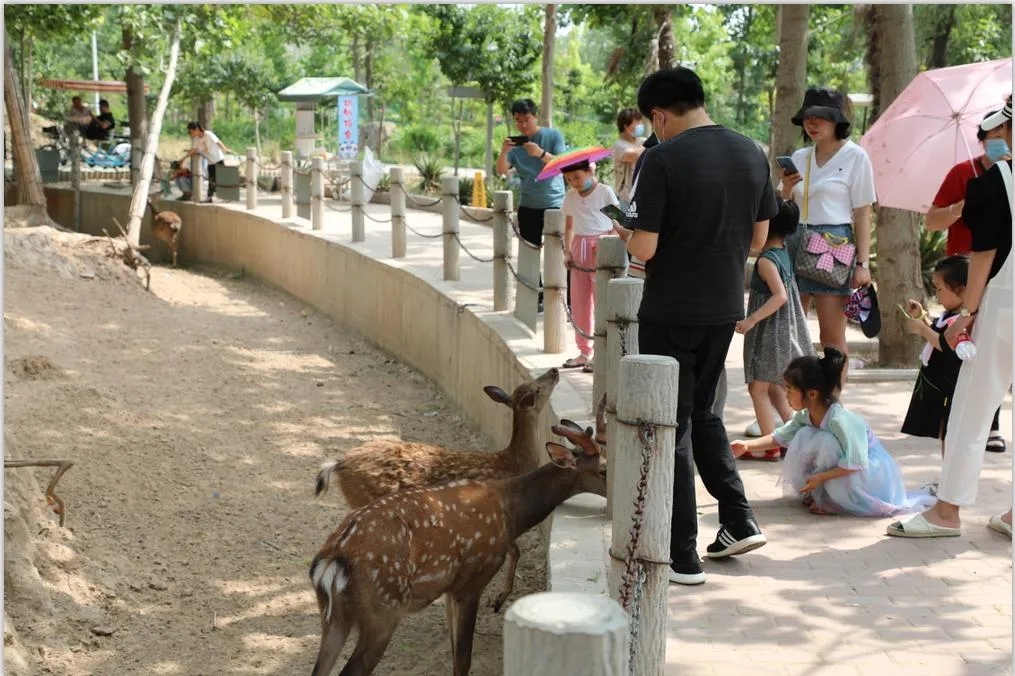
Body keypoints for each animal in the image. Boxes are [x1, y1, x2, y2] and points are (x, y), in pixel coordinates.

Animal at [306, 422, 600, 673]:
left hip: (334, 617)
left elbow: (452, 647)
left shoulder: (449, 585)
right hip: (383, 610)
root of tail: (331, 561)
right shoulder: (473, 580)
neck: (511, 513)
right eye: (602, 469)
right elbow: (463, 658)